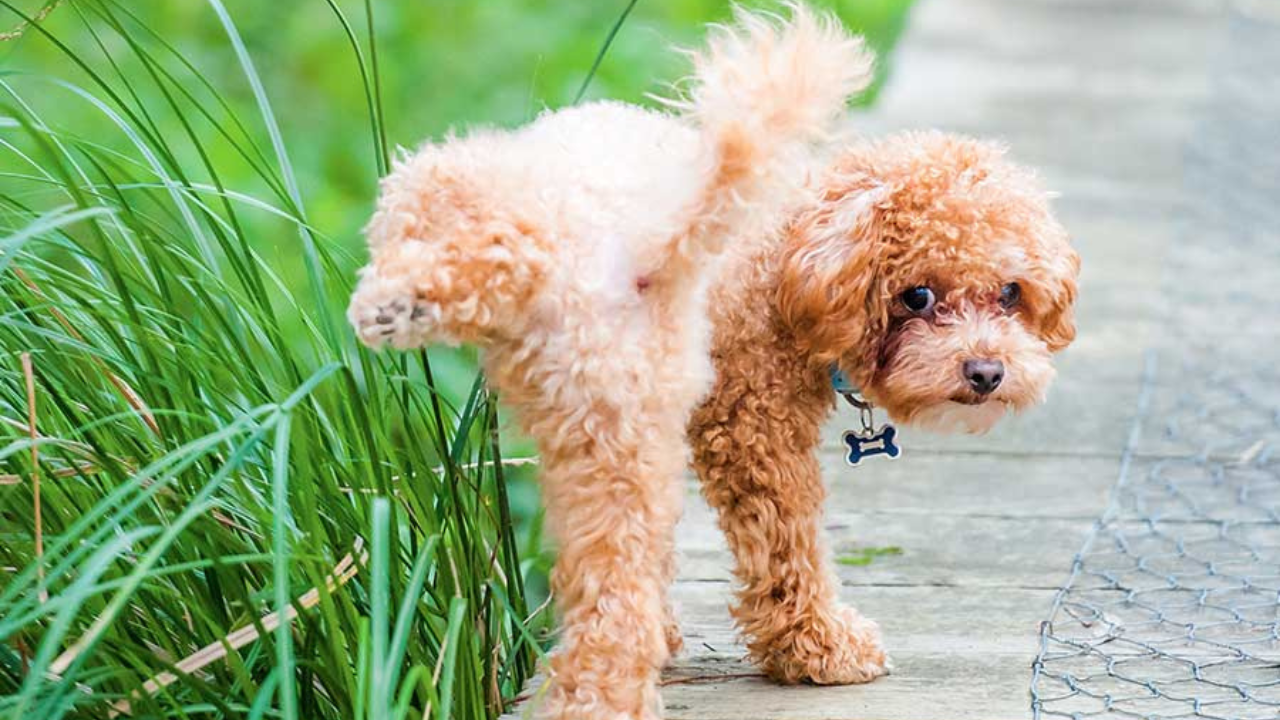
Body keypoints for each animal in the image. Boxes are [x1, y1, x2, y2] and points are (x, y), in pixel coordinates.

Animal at [345, 5, 875, 717]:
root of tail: (655, 246)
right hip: (617, 435)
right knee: (618, 584)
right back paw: (604, 693)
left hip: (481, 199)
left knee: (496, 248)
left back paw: (394, 304)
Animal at [691, 127, 1080, 676]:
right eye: (917, 296)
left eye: (1010, 293)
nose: (986, 373)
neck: (780, 266)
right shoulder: (754, 429)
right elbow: (788, 544)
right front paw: (821, 644)